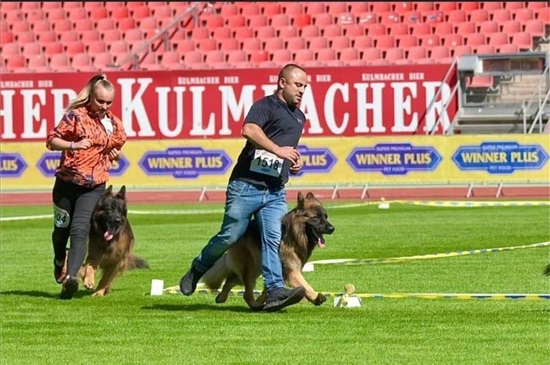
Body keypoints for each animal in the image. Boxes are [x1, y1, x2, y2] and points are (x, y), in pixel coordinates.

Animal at [199, 192, 334, 308]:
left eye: (326, 216)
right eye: (316, 217)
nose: (332, 229)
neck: (293, 234)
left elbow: (269, 287)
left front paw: (273, 298)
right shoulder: (292, 271)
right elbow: (305, 286)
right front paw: (315, 297)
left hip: (255, 268)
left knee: (231, 279)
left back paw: (221, 297)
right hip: (251, 269)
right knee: (246, 294)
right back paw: (255, 306)